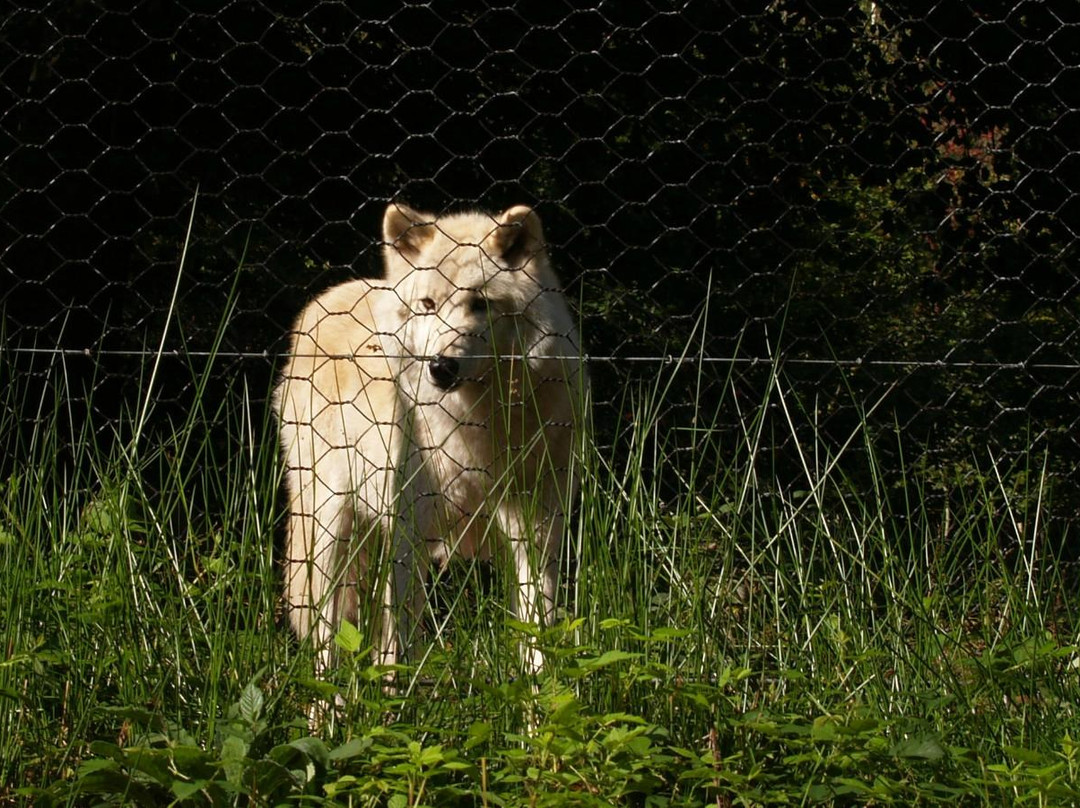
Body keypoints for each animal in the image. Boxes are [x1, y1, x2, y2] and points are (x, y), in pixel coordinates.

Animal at [274, 200, 587, 674]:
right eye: (427, 304)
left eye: (480, 304)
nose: (440, 367)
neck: (476, 424)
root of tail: (321, 303)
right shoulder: (409, 532)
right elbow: (398, 643)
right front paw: (397, 695)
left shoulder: (537, 529)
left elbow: (538, 632)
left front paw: (542, 693)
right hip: (329, 526)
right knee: (326, 632)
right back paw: (327, 695)